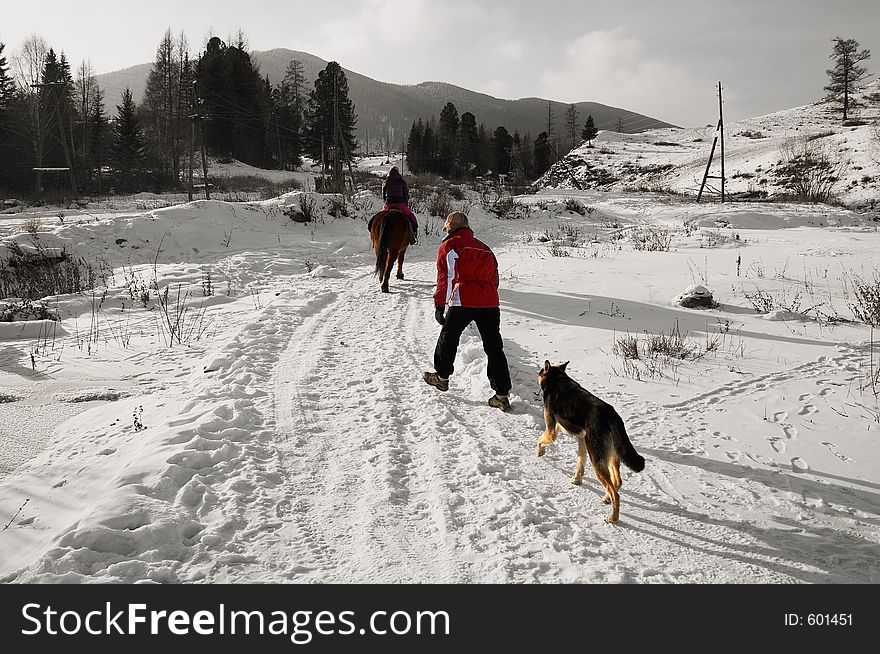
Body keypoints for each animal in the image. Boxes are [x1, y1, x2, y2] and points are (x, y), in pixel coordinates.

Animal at [536, 362, 648, 524]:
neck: (557, 378)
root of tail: (612, 415)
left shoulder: (552, 431)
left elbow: (540, 440)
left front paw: (539, 452)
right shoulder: (582, 439)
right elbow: (580, 463)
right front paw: (577, 480)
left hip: (597, 460)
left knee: (615, 493)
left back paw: (612, 517)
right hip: (611, 455)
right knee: (617, 482)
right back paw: (607, 498)